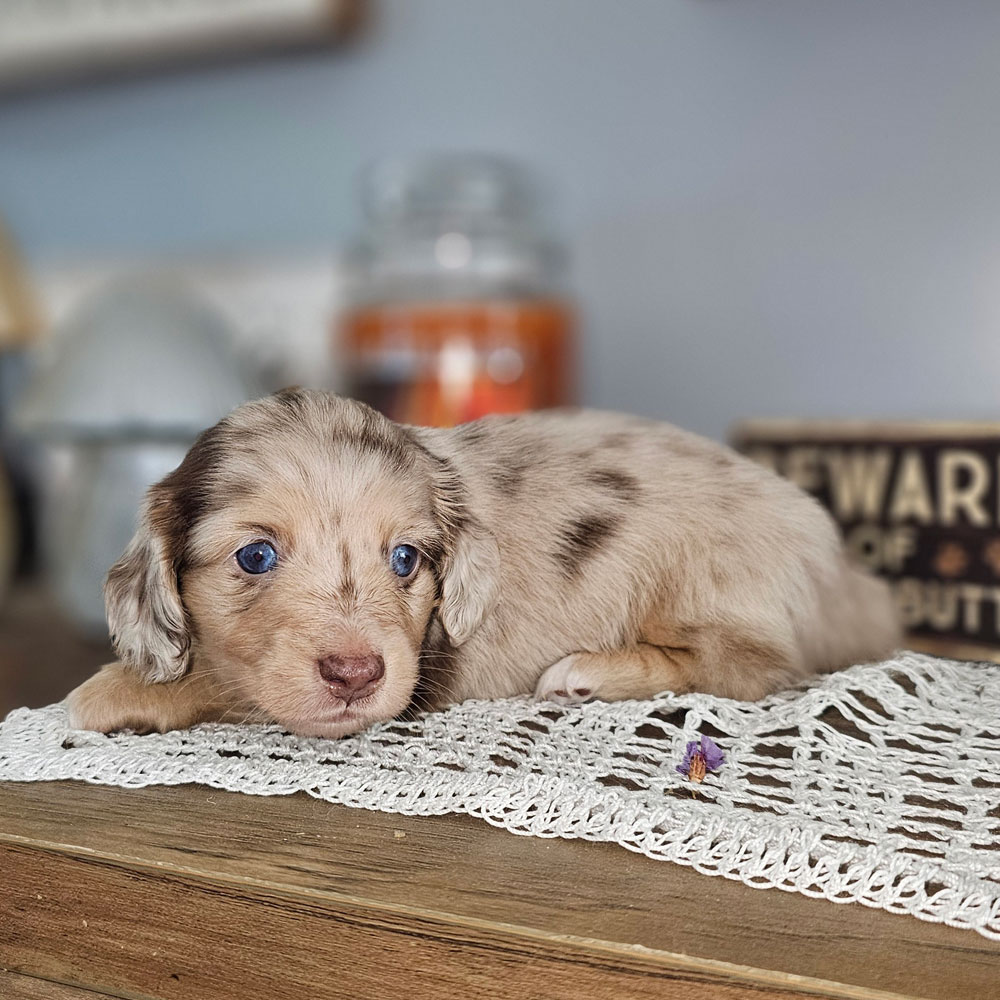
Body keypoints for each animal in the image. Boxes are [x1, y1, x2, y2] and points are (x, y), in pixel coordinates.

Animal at [66, 386, 904, 740]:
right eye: (256, 554)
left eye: (405, 557)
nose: (355, 674)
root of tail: (842, 567)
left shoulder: (424, 678)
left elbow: (221, 680)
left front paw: (109, 689)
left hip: (707, 585)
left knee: (745, 668)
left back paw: (588, 671)